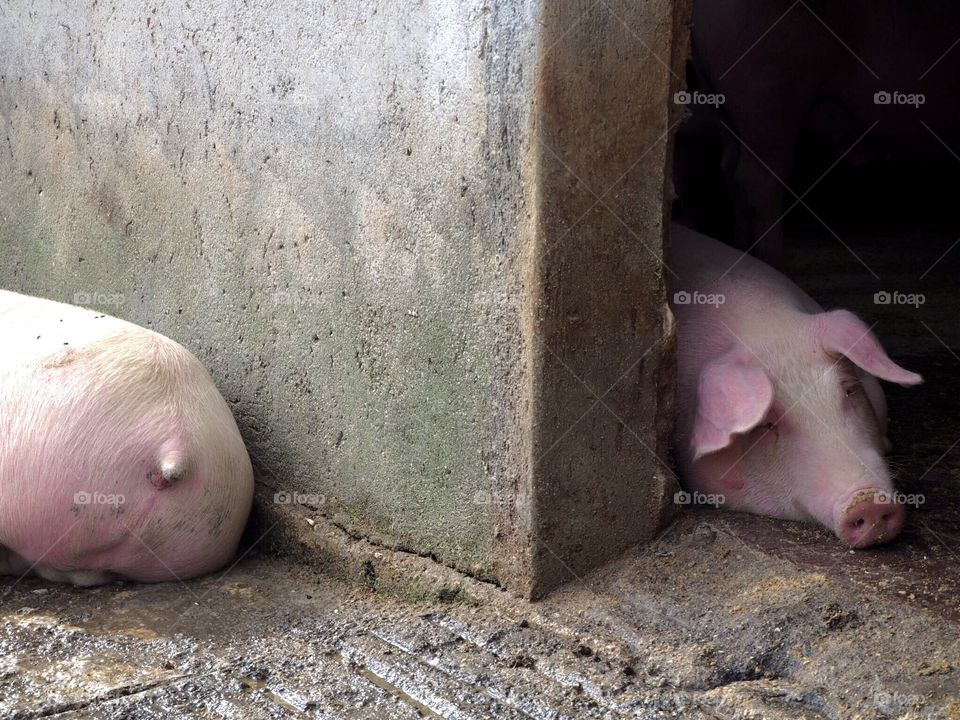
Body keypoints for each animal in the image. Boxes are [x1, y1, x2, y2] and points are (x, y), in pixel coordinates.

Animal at [690, 0, 960, 262]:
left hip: (722, 108)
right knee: (759, 181)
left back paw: (742, 251)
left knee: (730, 169)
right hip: (767, 99)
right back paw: (775, 263)